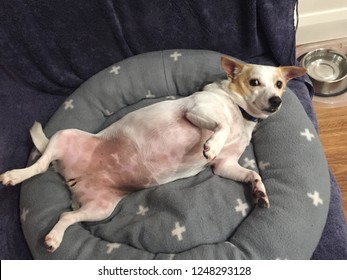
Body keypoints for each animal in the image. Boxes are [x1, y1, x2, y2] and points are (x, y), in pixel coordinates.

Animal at [0, 57, 306, 252]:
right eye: (254, 82)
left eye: (279, 84)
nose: (276, 101)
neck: (239, 112)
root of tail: (73, 179)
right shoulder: (196, 111)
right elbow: (219, 126)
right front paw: (212, 144)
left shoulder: (225, 165)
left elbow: (251, 173)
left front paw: (260, 191)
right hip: (65, 135)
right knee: (39, 167)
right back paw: (14, 176)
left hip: (100, 208)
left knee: (65, 215)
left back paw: (53, 237)